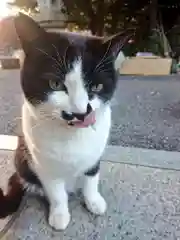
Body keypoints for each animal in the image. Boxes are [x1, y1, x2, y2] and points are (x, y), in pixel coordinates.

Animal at [0, 13, 134, 231]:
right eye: (55, 84)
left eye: (96, 87)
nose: (80, 112)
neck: (71, 136)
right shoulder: (42, 164)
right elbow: (56, 192)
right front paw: (60, 214)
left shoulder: (95, 154)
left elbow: (91, 177)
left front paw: (93, 201)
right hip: (22, 160)